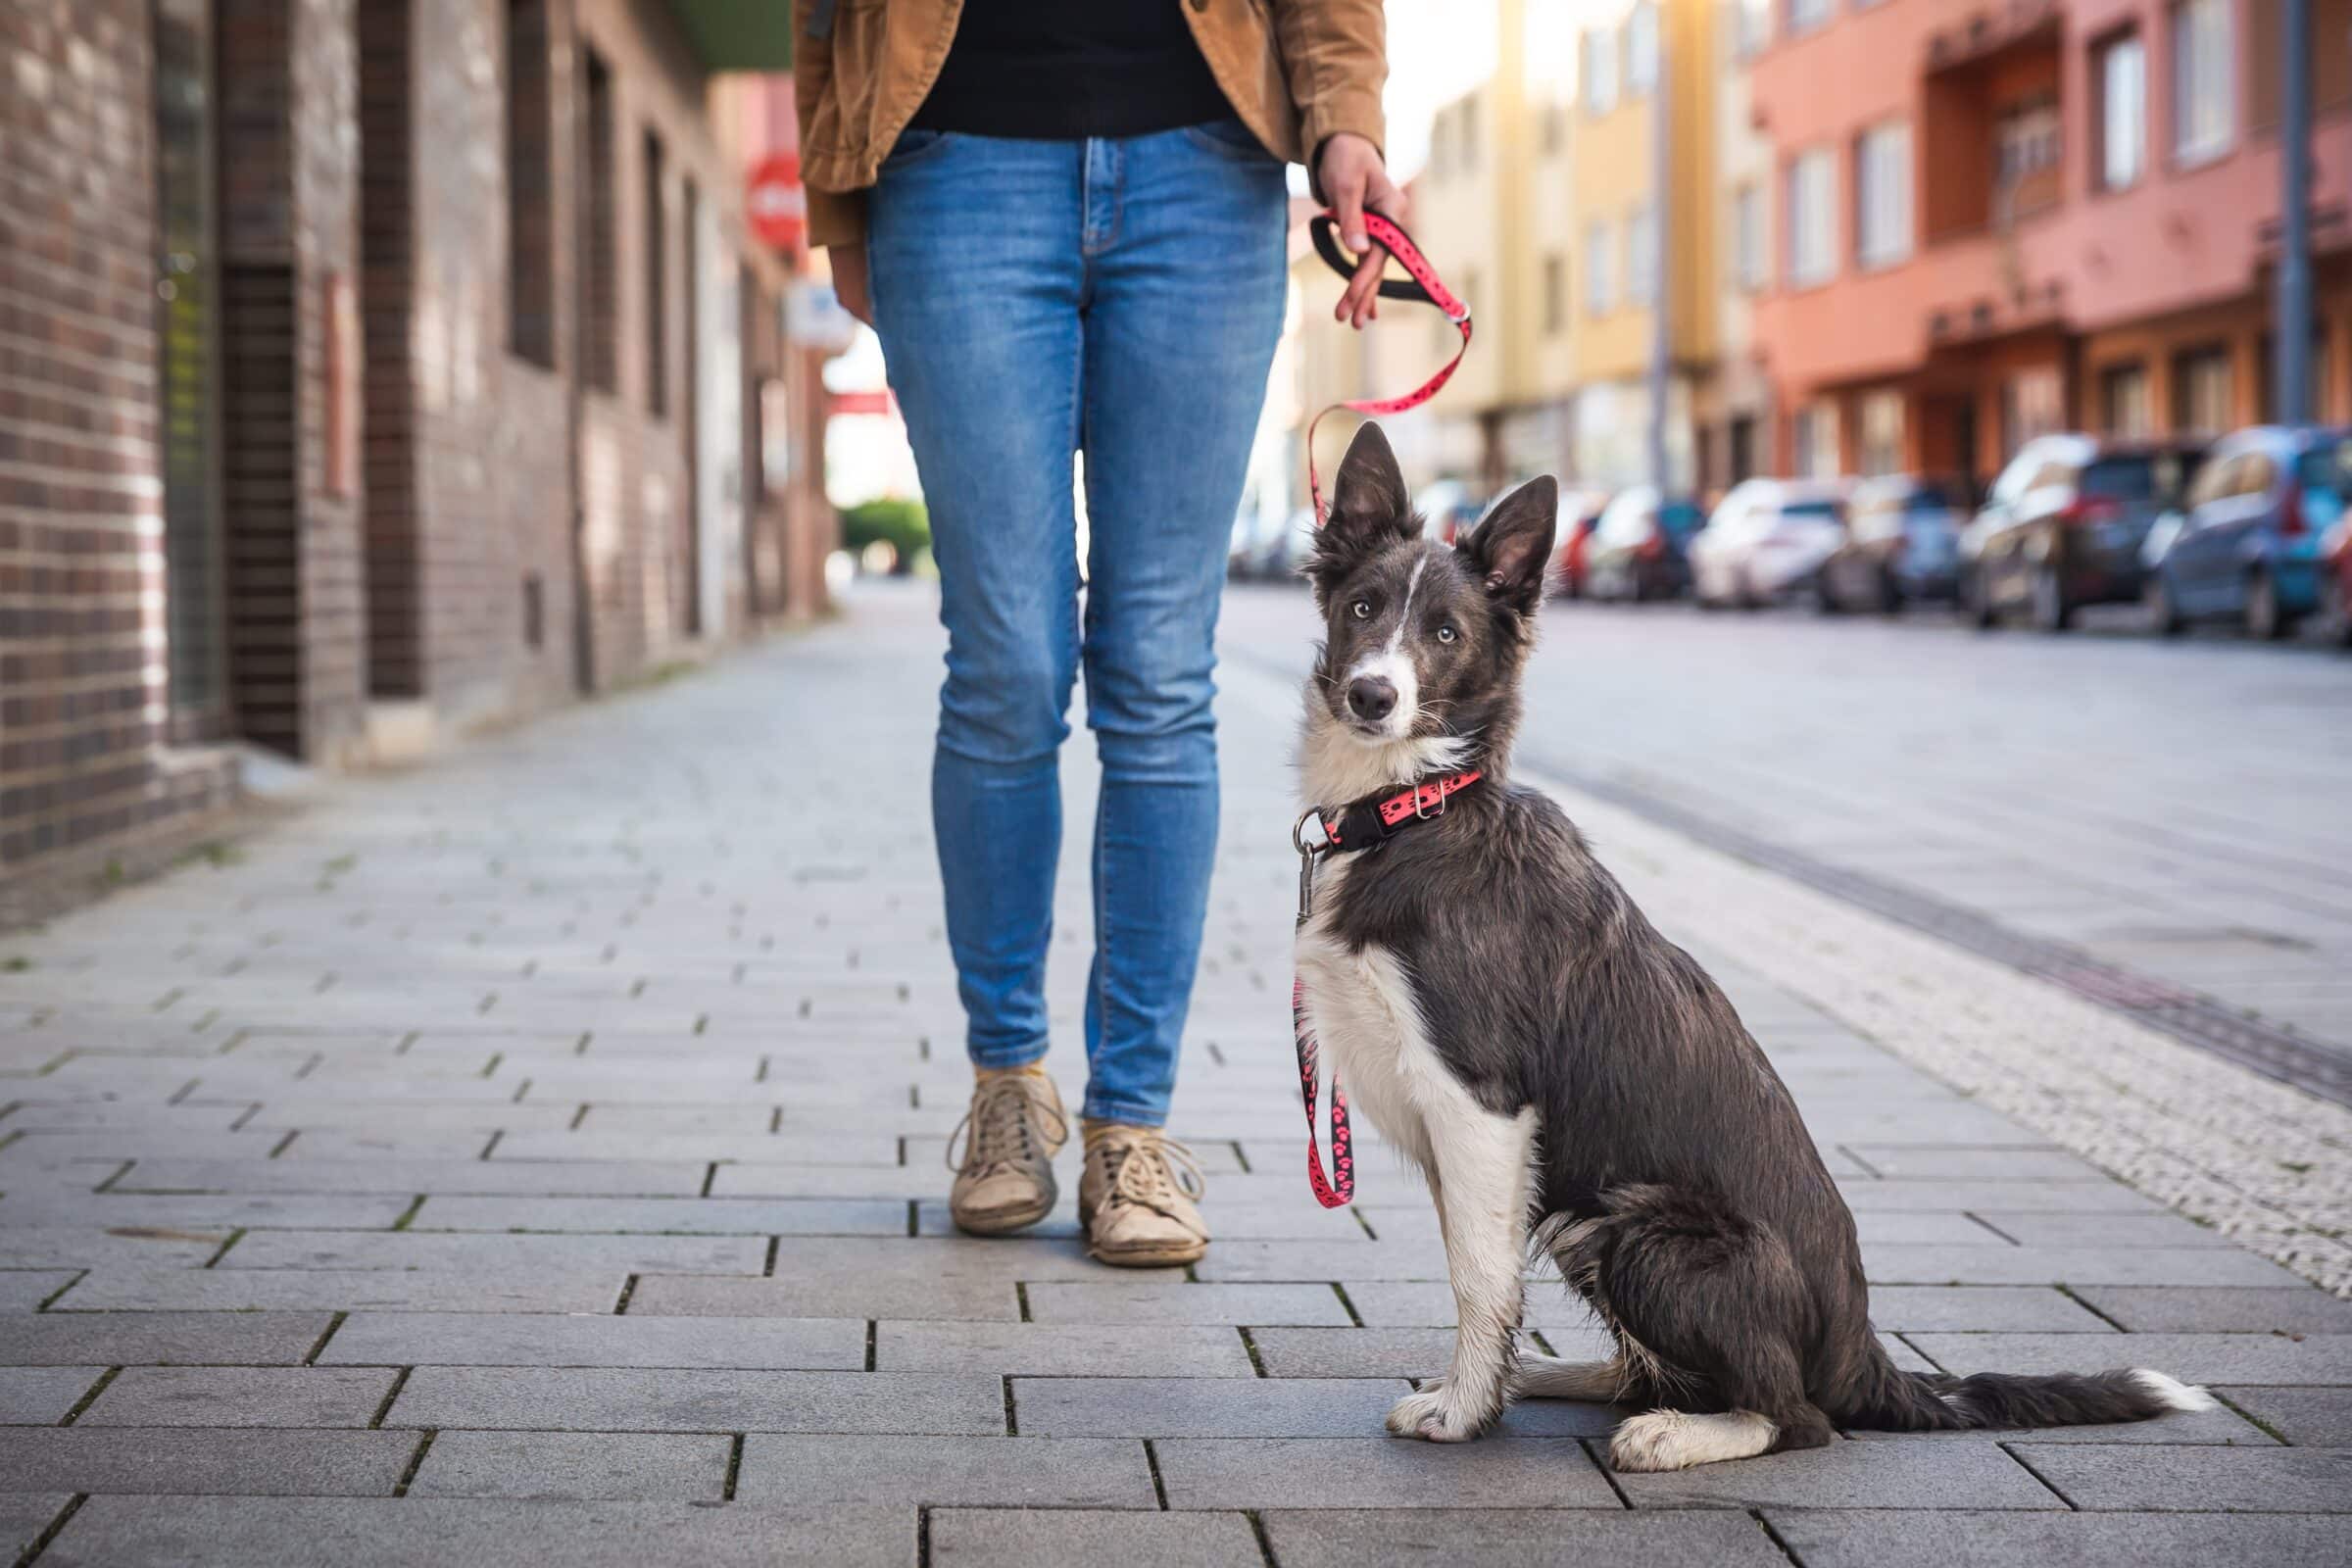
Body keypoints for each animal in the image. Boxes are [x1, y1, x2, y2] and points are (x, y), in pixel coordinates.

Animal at [1298, 416, 2211, 1476]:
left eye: (1446, 634)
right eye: (1363, 608)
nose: (1372, 695)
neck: (1417, 809)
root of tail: (1864, 1353)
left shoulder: (1481, 1104)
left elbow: (1478, 1280)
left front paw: (1465, 1411)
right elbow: (1481, 1275)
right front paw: (1486, 1390)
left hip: (1643, 1225)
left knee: (1794, 1415)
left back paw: (1675, 1431)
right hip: (1589, 1221)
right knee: (1664, 1369)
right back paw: (1581, 1379)